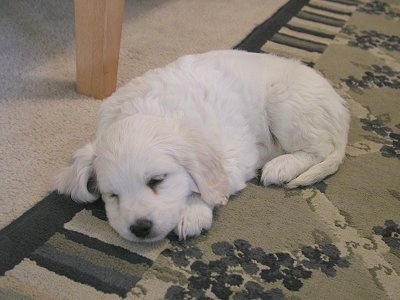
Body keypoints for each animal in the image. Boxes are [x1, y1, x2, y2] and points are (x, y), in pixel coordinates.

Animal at [54, 49, 350, 241]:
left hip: (286, 105)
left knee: (320, 149)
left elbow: (208, 187)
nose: (139, 228)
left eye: (157, 180)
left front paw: (193, 213)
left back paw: (281, 166)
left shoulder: (236, 150)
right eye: (112, 195)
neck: (154, 111)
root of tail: (341, 109)